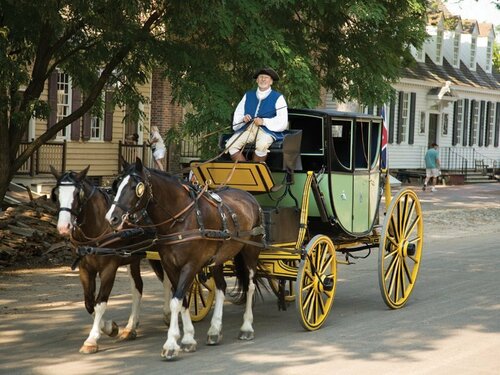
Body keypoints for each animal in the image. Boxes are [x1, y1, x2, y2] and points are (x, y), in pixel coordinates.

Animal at [50, 167, 172, 356]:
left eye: (78, 194)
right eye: (56, 194)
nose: (64, 228)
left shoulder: (109, 268)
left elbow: (100, 302)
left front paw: (92, 339)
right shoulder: (85, 268)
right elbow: (89, 303)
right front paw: (110, 327)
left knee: (167, 281)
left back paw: (167, 314)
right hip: (135, 257)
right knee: (138, 287)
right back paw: (130, 328)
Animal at [106, 159, 266, 362]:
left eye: (136, 187)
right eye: (117, 185)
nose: (111, 217)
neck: (181, 219)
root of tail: (249, 196)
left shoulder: (191, 265)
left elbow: (176, 301)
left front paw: (171, 344)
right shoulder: (170, 265)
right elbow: (183, 300)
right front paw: (188, 338)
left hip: (250, 251)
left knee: (250, 286)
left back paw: (246, 327)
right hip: (218, 259)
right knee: (221, 287)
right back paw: (214, 330)